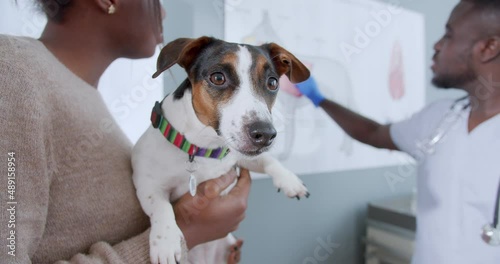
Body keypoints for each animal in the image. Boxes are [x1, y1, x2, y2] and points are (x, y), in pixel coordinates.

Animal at [132, 36, 312, 264]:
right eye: (218, 78)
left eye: (272, 82)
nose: (265, 134)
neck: (203, 148)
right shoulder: (148, 184)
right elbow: (161, 206)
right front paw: (165, 242)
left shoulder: (240, 155)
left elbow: (268, 160)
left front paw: (290, 181)